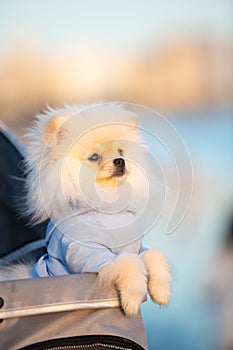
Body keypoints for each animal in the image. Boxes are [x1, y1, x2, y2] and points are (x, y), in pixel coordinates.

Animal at [0, 102, 171, 316]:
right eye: (94, 157)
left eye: (121, 152)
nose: (120, 161)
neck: (106, 206)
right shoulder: (89, 253)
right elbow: (128, 264)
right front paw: (133, 299)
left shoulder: (136, 247)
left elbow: (152, 255)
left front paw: (161, 291)